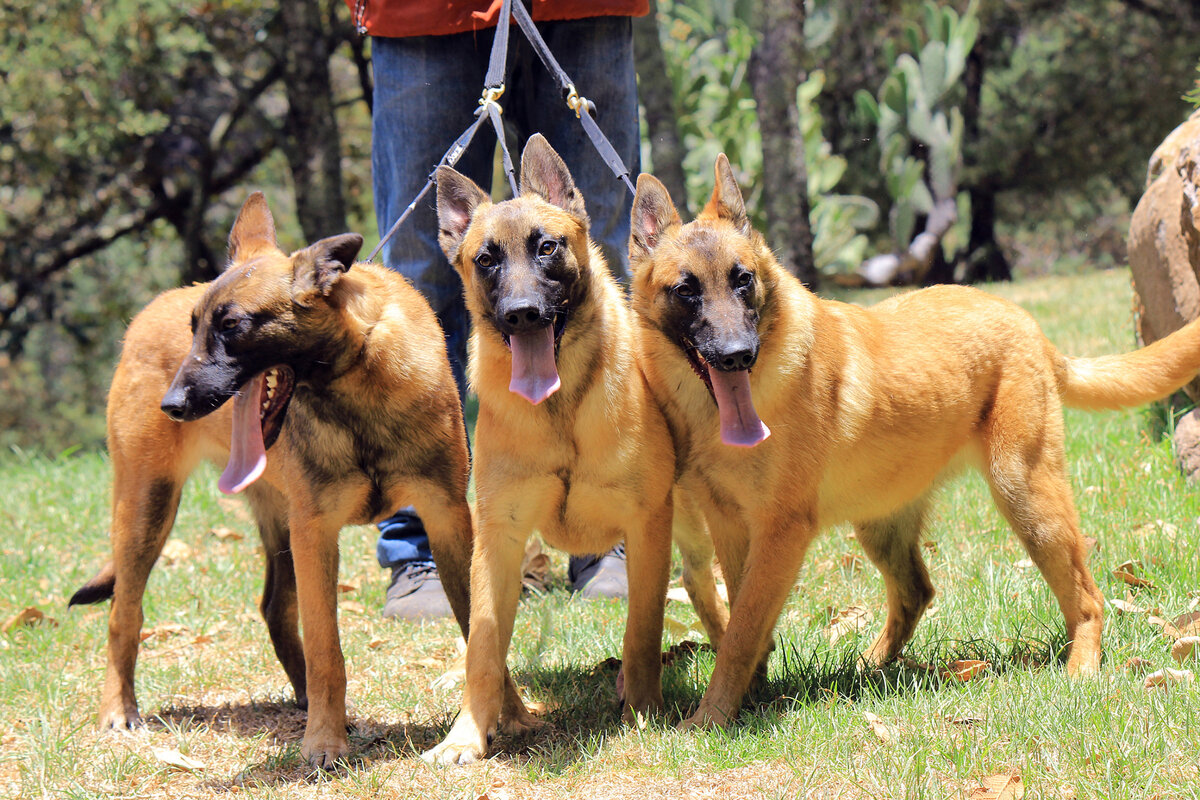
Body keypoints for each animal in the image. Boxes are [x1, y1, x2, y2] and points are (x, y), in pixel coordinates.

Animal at [68, 191, 492, 767]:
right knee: (123, 613)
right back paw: (119, 710)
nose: (172, 405)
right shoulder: (317, 533)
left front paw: (499, 716)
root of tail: (144, 315)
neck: (359, 383)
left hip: (276, 526)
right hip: (148, 510)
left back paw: (304, 698)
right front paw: (325, 743)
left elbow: (476, 627)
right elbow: (326, 648)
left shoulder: (446, 519)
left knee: (272, 608)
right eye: (195, 327)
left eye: (231, 326)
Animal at [417, 137, 724, 767]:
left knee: (707, 588)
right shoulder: (498, 541)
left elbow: (641, 630)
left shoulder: (647, 528)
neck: (561, 410)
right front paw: (466, 735)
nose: (522, 314)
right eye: (486, 259)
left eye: (547, 247)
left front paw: (643, 711)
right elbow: (483, 644)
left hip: (692, 532)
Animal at [628, 154, 1200, 734]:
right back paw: (869, 666)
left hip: (1027, 500)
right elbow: (741, 625)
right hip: (881, 525)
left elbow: (741, 630)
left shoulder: (780, 533)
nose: (737, 355)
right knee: (915, 592)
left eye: (742, 280)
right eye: (686, 290)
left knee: (1087, 597)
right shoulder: (731, 526)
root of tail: (1027, 324)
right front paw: (747, 696)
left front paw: (710, 718)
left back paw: (1080, 670)